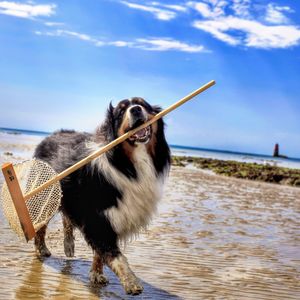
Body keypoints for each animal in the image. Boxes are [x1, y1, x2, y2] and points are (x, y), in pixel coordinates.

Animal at [33, 98, 170, 296]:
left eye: (143, 104)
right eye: (121, 112)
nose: (136, 110)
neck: (128, 164)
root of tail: (49, 137)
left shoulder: (110, 217)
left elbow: (100, 253)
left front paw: (97, 275)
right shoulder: (97, 217)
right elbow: (113, 253)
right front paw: (131, 282)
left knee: (67, 219)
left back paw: (68, 245)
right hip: (47, 195)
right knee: (41, 225)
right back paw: (41, 249)